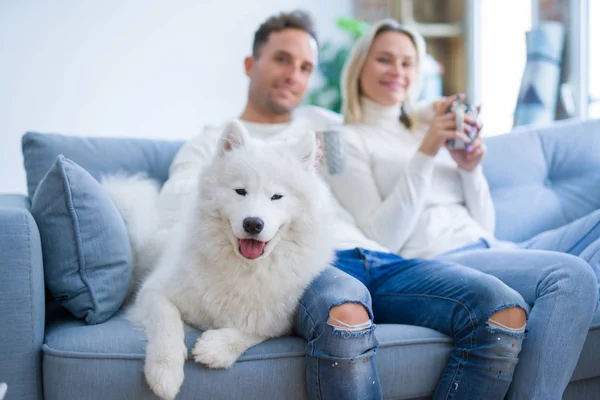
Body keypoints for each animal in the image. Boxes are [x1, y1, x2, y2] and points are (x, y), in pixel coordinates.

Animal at [105, 122, 336, 400]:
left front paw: (216, 348)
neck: (242, 267)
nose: (253, 223)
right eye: (240, 191)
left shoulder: (279, 319)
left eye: (276, 196)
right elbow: (167, 322)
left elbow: (256, 331)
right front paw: (164, 373)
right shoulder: (154, 293)